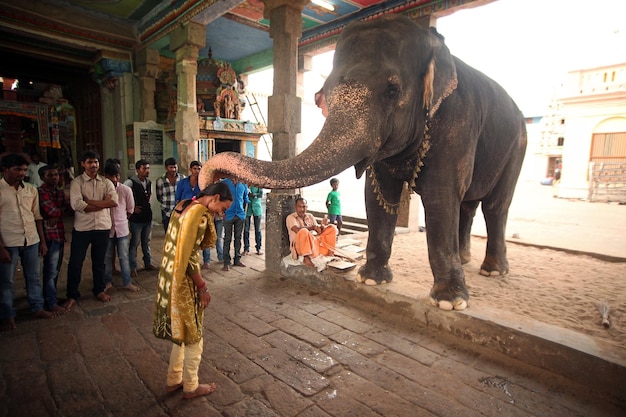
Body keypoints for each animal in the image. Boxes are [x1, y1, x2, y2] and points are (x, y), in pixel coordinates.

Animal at [201, 14, 528, 308]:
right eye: (324, 96)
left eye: (393, 90)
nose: (209, 179)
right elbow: (377, 197)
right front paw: (370, 279)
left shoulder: (457, 123)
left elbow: (441, 197)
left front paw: (450, 303)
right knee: (470, 206)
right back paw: (468, 259)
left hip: (517, 147)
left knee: (495, 206)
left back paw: (493, 270)